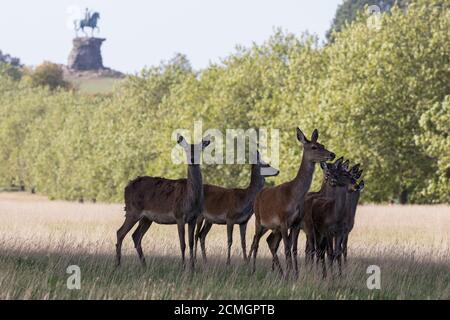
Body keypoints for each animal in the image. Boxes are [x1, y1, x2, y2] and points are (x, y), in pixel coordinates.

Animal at [118, 134, 213, 268]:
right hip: (132, 211)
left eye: (200, 149)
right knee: (120, 233)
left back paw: (144, 266)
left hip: (146, 218)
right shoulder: (179, 216)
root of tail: (126, 187)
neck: (190, 200)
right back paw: (117, 264)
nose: (192, 159)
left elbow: (190, 243)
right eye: (186, 150)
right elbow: (182, 244)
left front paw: (193, 267)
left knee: (135, 236)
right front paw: (183, 267)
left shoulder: (194, 218)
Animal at [248, 129, 336, 276]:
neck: (294, 196)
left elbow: (292, 249)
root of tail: (259, 194)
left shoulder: (295, 223)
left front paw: (295, 274)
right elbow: (287, 248)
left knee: (270, 242)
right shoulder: (283, 220)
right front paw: (289, 275)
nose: (332, 154)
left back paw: (277, 271)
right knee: (256, 241)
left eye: (322, 145)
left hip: (274, 227)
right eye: (314, 147)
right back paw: (252, 269)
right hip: (259, 220)